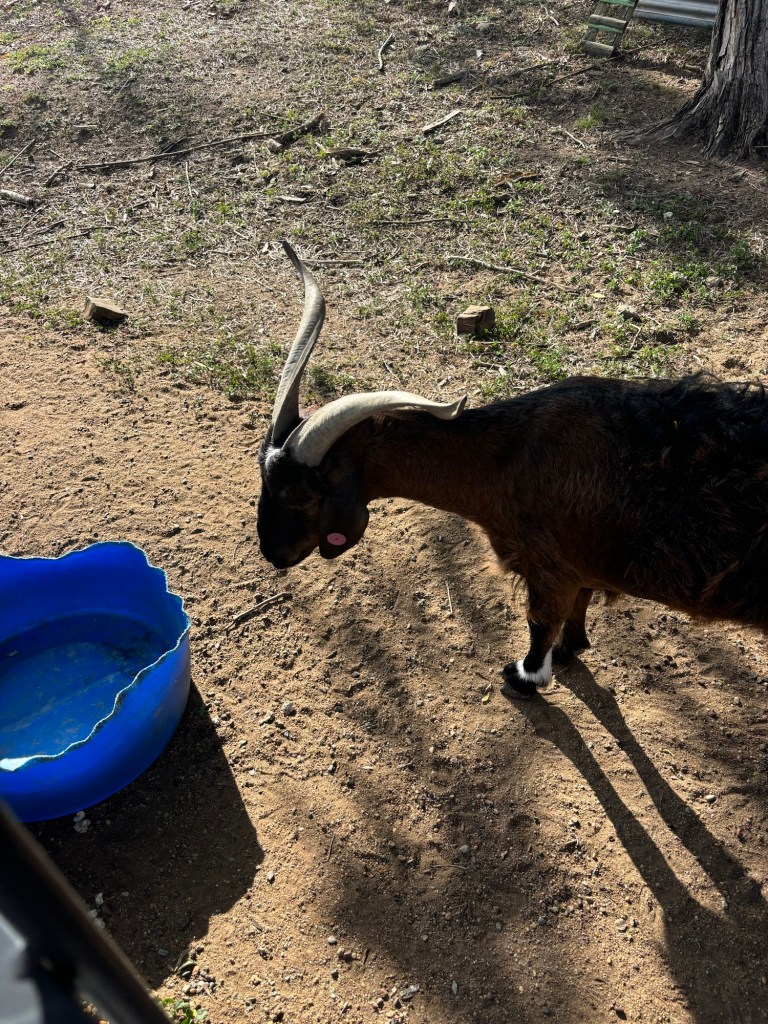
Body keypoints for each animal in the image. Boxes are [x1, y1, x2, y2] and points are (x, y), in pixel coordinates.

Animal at [258, 241, 768, 698]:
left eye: (301, 494)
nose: (273, 554)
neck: (510, 457)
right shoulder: (576, 562)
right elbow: (578, 607)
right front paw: (570, 649)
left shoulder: (548, 567)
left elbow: (540, 623)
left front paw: (525, 677)